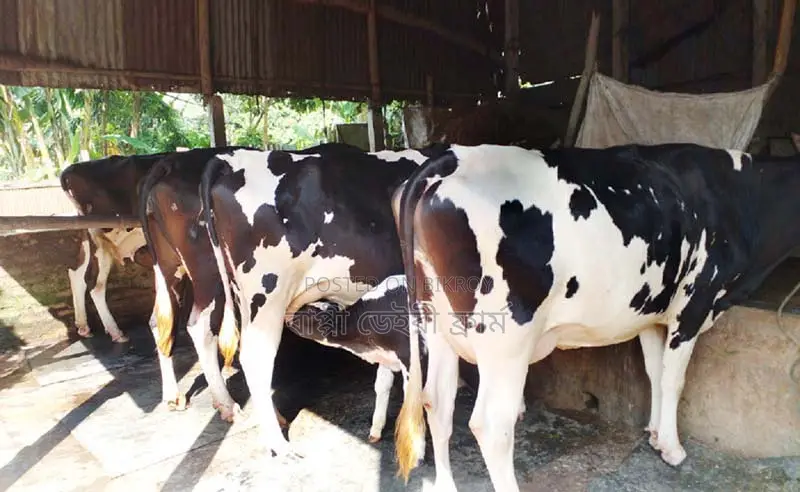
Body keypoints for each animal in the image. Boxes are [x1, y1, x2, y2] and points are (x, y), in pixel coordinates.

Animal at [60, 153, 171, 342]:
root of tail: (71, 169)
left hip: (91, 240)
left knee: (79, 275)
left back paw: (85, 327)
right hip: (101, 241)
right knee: (94, 286)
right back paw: (114, 332)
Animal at [199, 144, 450, 457]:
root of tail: (231, 160)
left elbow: (385, 375)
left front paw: (378, 428)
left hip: (242, 298)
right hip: (267, 297)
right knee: (255, 358)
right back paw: (278, 444)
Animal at [393, 143, 800, 491]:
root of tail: (452, 157)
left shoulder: (651, 312)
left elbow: (654, 372)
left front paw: (655, 434)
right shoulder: (693, 304)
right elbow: (674, 380)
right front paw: (672, 448)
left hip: (437, 325)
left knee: (437, 403)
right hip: (506, 338)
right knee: (492, 426)